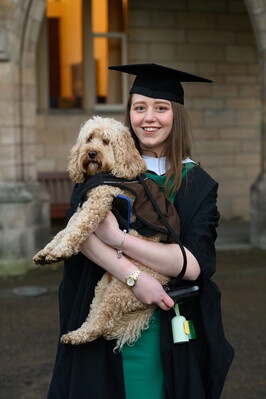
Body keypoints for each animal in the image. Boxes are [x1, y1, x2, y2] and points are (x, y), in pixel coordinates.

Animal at [32, 115, 179, 350]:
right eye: (89, 139)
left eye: (107, 141)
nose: (92, 153)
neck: (105, 173)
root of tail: (165, 284)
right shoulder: (82, 207)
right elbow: (63, 231)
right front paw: (46, 252)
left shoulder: (98, 203)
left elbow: (76, 229)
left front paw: (61, 251)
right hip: (104, 286)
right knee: (96, 316)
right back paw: (76, 335)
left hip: (121, 290)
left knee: (103, 322)